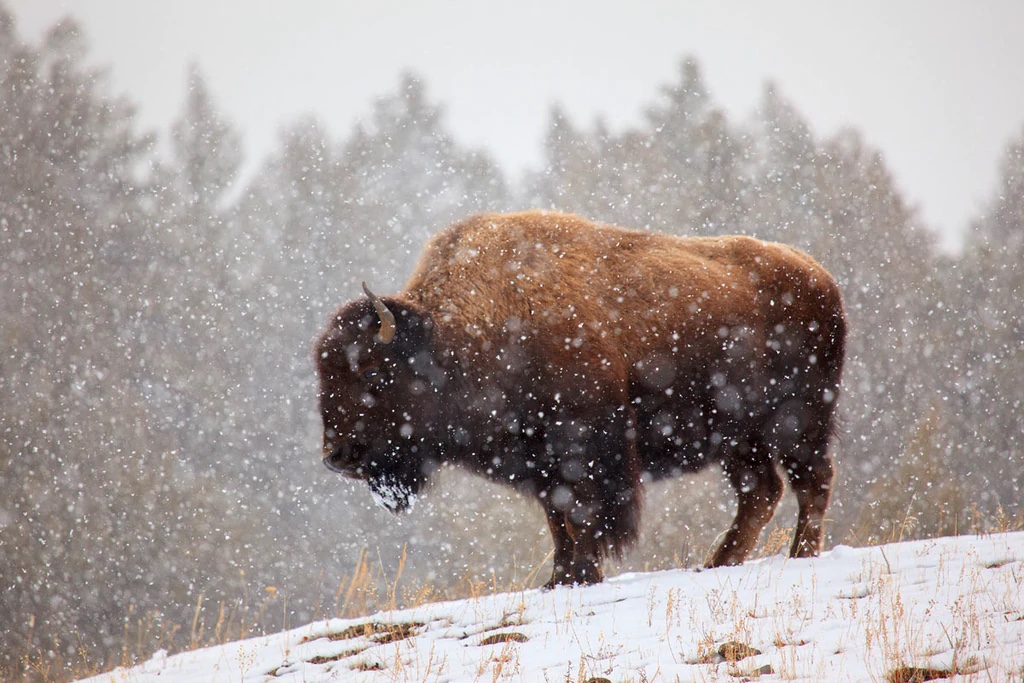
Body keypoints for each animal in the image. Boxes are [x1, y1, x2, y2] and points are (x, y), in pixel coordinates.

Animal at [316, 211, 846, 587]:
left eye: (370, 369)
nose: (336, 457)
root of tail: (820, 276)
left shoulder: (585, 449)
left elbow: (584, 516)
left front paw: (582, 575)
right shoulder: (541, 464)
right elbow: (559, 520)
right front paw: (560, 579)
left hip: (798, 421)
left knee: (811, 482)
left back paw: (799, 555)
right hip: (739, 439)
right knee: (761, 492)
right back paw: (716, 564)